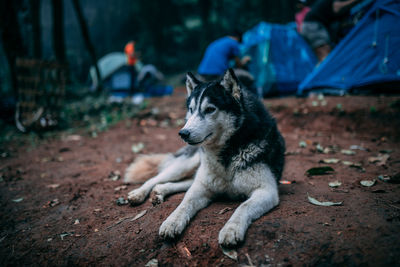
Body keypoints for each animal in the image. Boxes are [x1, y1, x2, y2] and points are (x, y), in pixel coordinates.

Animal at [125, 68, 284, 247]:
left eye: (209, 109)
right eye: (191, 109)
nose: (183, 133)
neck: (228, 150)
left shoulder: (266, 190)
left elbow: (243, 207)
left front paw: (231, 230)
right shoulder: (201, 186)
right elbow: (185, 203)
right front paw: (172, 222)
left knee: (182, 182)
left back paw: (160, 191)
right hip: (187, 165)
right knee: (156, 178)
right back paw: (139, 193)